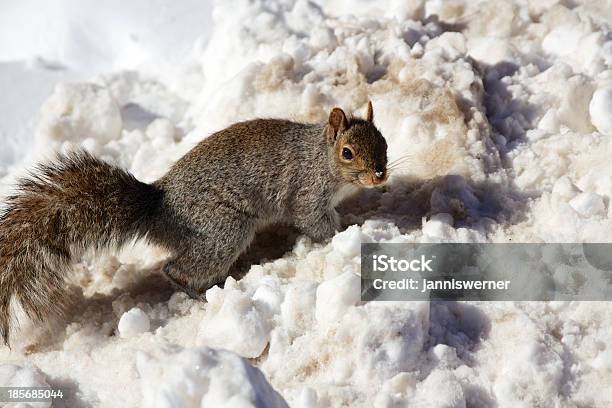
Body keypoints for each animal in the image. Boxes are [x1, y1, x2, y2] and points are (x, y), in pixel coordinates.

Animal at [0, 102, 390, 344]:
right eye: (347, 153)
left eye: (384, 142)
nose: (380, 175)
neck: (320, 157)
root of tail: (159, 207)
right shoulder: (307, 194)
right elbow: (316, 222)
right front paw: (347, 232)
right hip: (223, 231)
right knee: (176, 268)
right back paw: (200, 295)